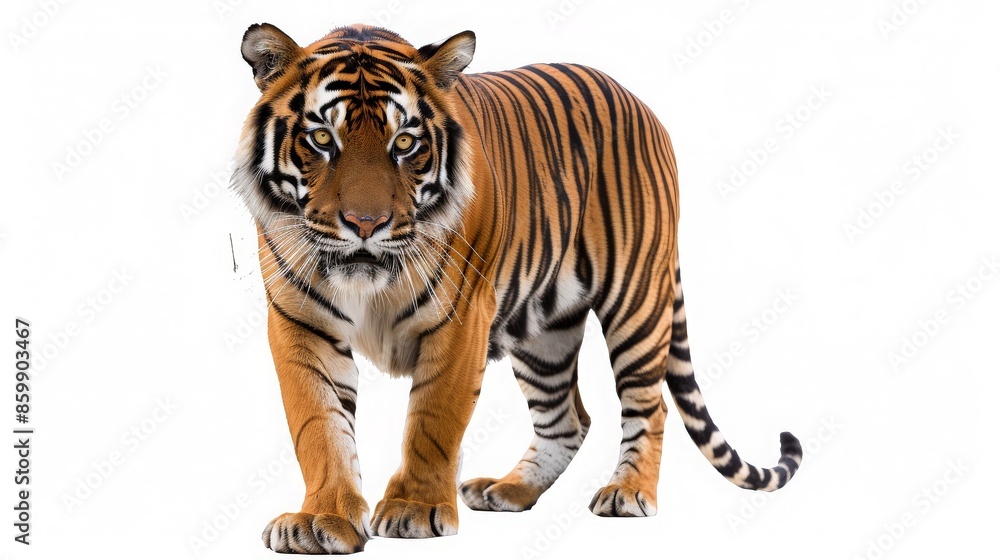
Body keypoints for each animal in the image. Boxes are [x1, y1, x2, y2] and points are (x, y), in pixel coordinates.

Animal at [231, 22, 802, 554]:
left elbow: (433, 420)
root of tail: (637, 100)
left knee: (648, 402)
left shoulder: (461, 319)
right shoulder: (299, 322)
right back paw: (509, 490)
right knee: (568, 419)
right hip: (544, 331)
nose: (365, 225)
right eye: (322, 140)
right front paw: (321, 520)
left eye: (405, 143)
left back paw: (628, 491)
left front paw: (415, 509)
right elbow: (319, 427)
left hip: (636, 298)